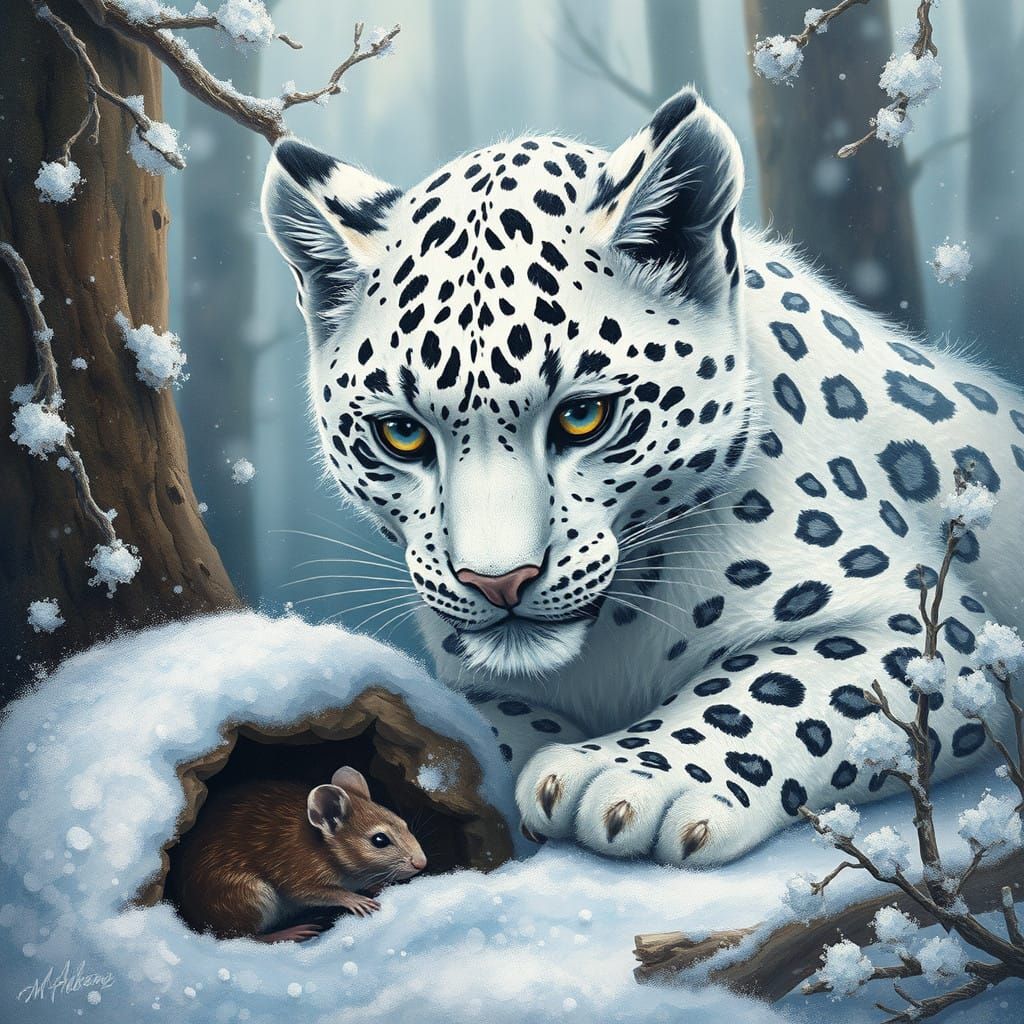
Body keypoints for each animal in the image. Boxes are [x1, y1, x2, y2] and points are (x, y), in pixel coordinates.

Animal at [261, 87, 1023, 866]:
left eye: (583, 416)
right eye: (402, 433)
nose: (498, 583)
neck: (608, 649)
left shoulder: (931, 628)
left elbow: (772, 681)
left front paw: (622, 778)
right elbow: (478, 717)